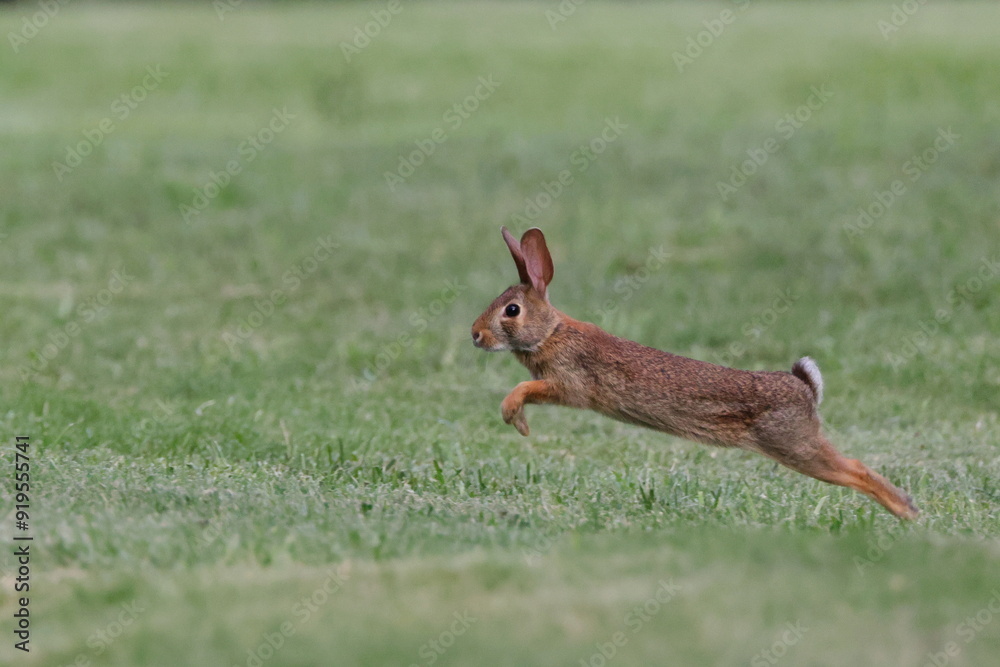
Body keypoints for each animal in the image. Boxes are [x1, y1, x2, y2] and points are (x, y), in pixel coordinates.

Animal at [472, 227, 916, 520]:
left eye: (511, 310)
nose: (475, 335)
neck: (551, 332)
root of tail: (803, 387)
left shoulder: (568, 383)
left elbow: (525, 387)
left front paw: (514, 418)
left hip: (793, 444)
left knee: (855, 468)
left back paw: (907, 513)